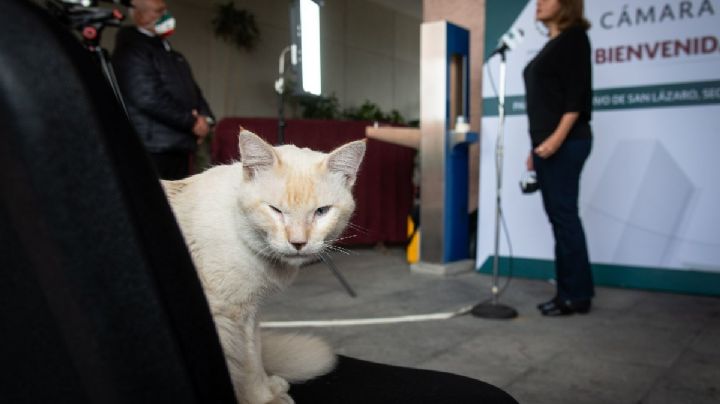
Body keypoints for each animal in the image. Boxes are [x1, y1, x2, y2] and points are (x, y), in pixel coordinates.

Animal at [163, 129, 366, 404]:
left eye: (322, 212)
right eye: (275, 210)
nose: (298, 243)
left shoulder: (250, 315)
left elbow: (254, 356)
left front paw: (266, 390)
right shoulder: (229, 318)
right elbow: (243, 366)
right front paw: (262, 400)